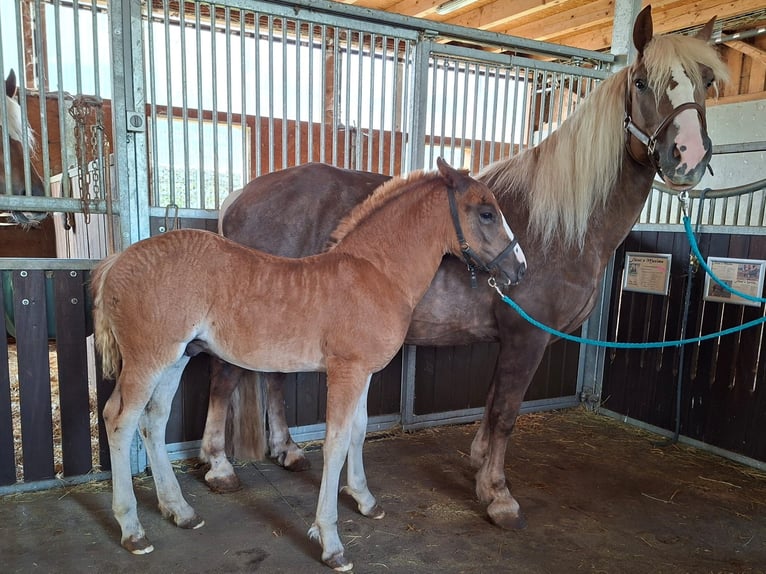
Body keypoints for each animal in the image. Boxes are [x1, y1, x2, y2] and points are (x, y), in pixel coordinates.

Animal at [91, 158, 527, 570]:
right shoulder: (345, 372)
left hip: (176, 359)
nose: (519, 267)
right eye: (486, 213)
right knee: (120, 419)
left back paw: (179, 510)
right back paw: (133, 530)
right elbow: (335, 442)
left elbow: (359, 430)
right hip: (148, 360)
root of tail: (116, 262)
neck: (376, 273)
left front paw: (365, 499)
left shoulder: (364, 372)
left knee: (154, 421)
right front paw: (331, 543)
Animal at [199, 5, 729, 533]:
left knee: (270, 375)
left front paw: (478, 465)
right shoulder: (526, 337)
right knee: (224, 377)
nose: (688, 155)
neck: (559, 225)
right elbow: (508, 413)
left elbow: (492, 404)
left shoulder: (511, 338)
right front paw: (498, 496)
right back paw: (220, 466)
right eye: (641, 82)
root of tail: (239, 197)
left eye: (706, 80)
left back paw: (287, 450)